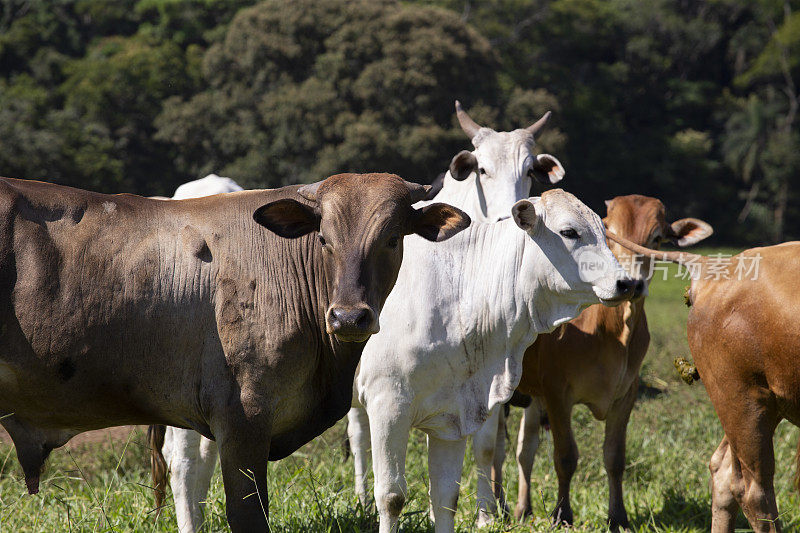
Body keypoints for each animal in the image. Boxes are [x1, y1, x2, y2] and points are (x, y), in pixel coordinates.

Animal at [350, 190, 636, 532]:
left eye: (604, 232)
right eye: (569, 232)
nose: (626, 283)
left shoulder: (453, 415)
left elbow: (446, 497)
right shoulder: (388, 404)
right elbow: (392, 496)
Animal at [504, 194, 708, 528]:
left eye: (656, 239)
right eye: (611, 234)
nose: (632, 283)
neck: (611, 331)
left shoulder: (626, 394)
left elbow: (614, 458)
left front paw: (618, 517)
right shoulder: (557, 392)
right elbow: (565, 457)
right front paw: (562, 515)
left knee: (525, 449)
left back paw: (523, 508)